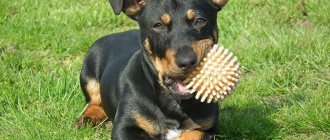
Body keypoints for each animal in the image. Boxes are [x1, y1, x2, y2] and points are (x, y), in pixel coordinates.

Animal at [76, 0, 228, 139]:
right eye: (158, 25)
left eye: (200, 21)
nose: (187, 61)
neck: (175, 103)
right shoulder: (125, 128)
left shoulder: (208, 128)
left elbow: (193, 134)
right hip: (88, 72)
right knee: (94, 102)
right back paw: (87, 119)